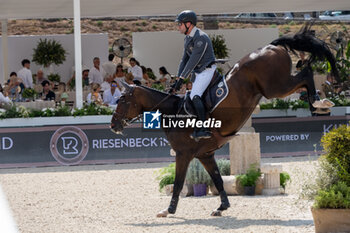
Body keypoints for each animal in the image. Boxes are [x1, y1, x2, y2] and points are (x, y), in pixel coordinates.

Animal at [110, 26, 340, 218]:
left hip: (275, 87)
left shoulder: (184, 154)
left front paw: (169, 210)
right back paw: (317, 103)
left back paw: (318, 101)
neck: (174, 111)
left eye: (122, 100)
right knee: (304, 76)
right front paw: (222, 207)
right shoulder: (205, 154)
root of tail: (270, 46)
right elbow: (218, 179)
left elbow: (178, 183)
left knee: (306, 73)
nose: (113, 126)